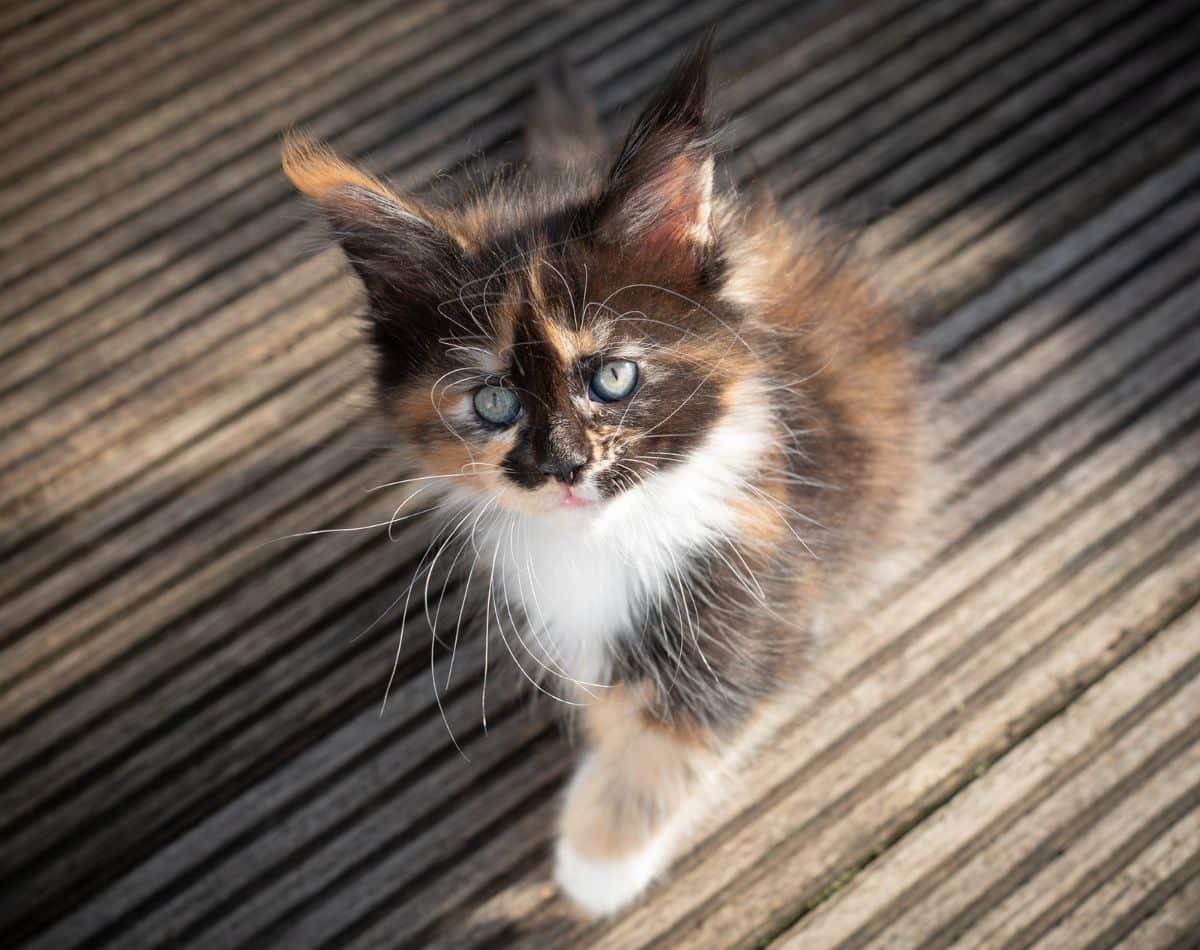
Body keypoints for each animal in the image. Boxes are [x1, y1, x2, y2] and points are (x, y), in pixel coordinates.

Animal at [280, 38, 916, 921]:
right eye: (495, 401)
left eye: (612, 377)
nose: (564, 466)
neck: (600, 537)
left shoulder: (765, 571)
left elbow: (685, 719)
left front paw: (596, 861)